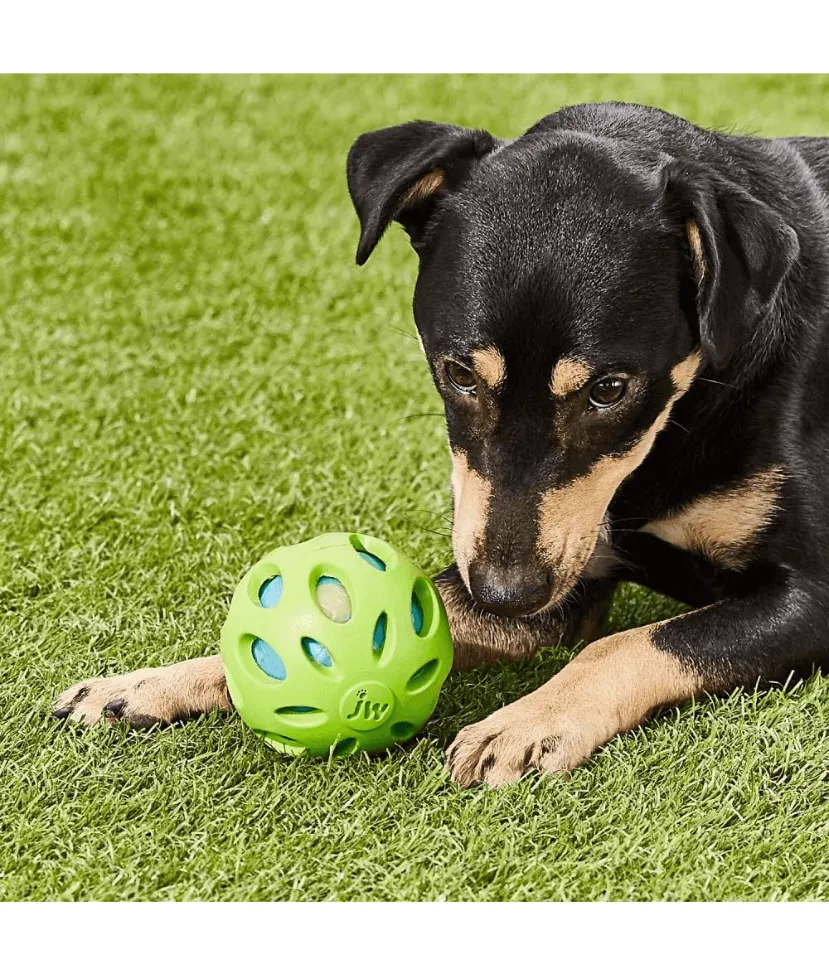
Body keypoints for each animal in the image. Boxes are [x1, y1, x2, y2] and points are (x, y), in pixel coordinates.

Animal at [55, 105, 828, 792]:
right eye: (457, 373)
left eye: (610, 389)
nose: (505, 593)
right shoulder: (570, 569)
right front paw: (148, 684)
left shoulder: (811, 596)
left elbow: (631, 640)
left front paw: (523, 723)